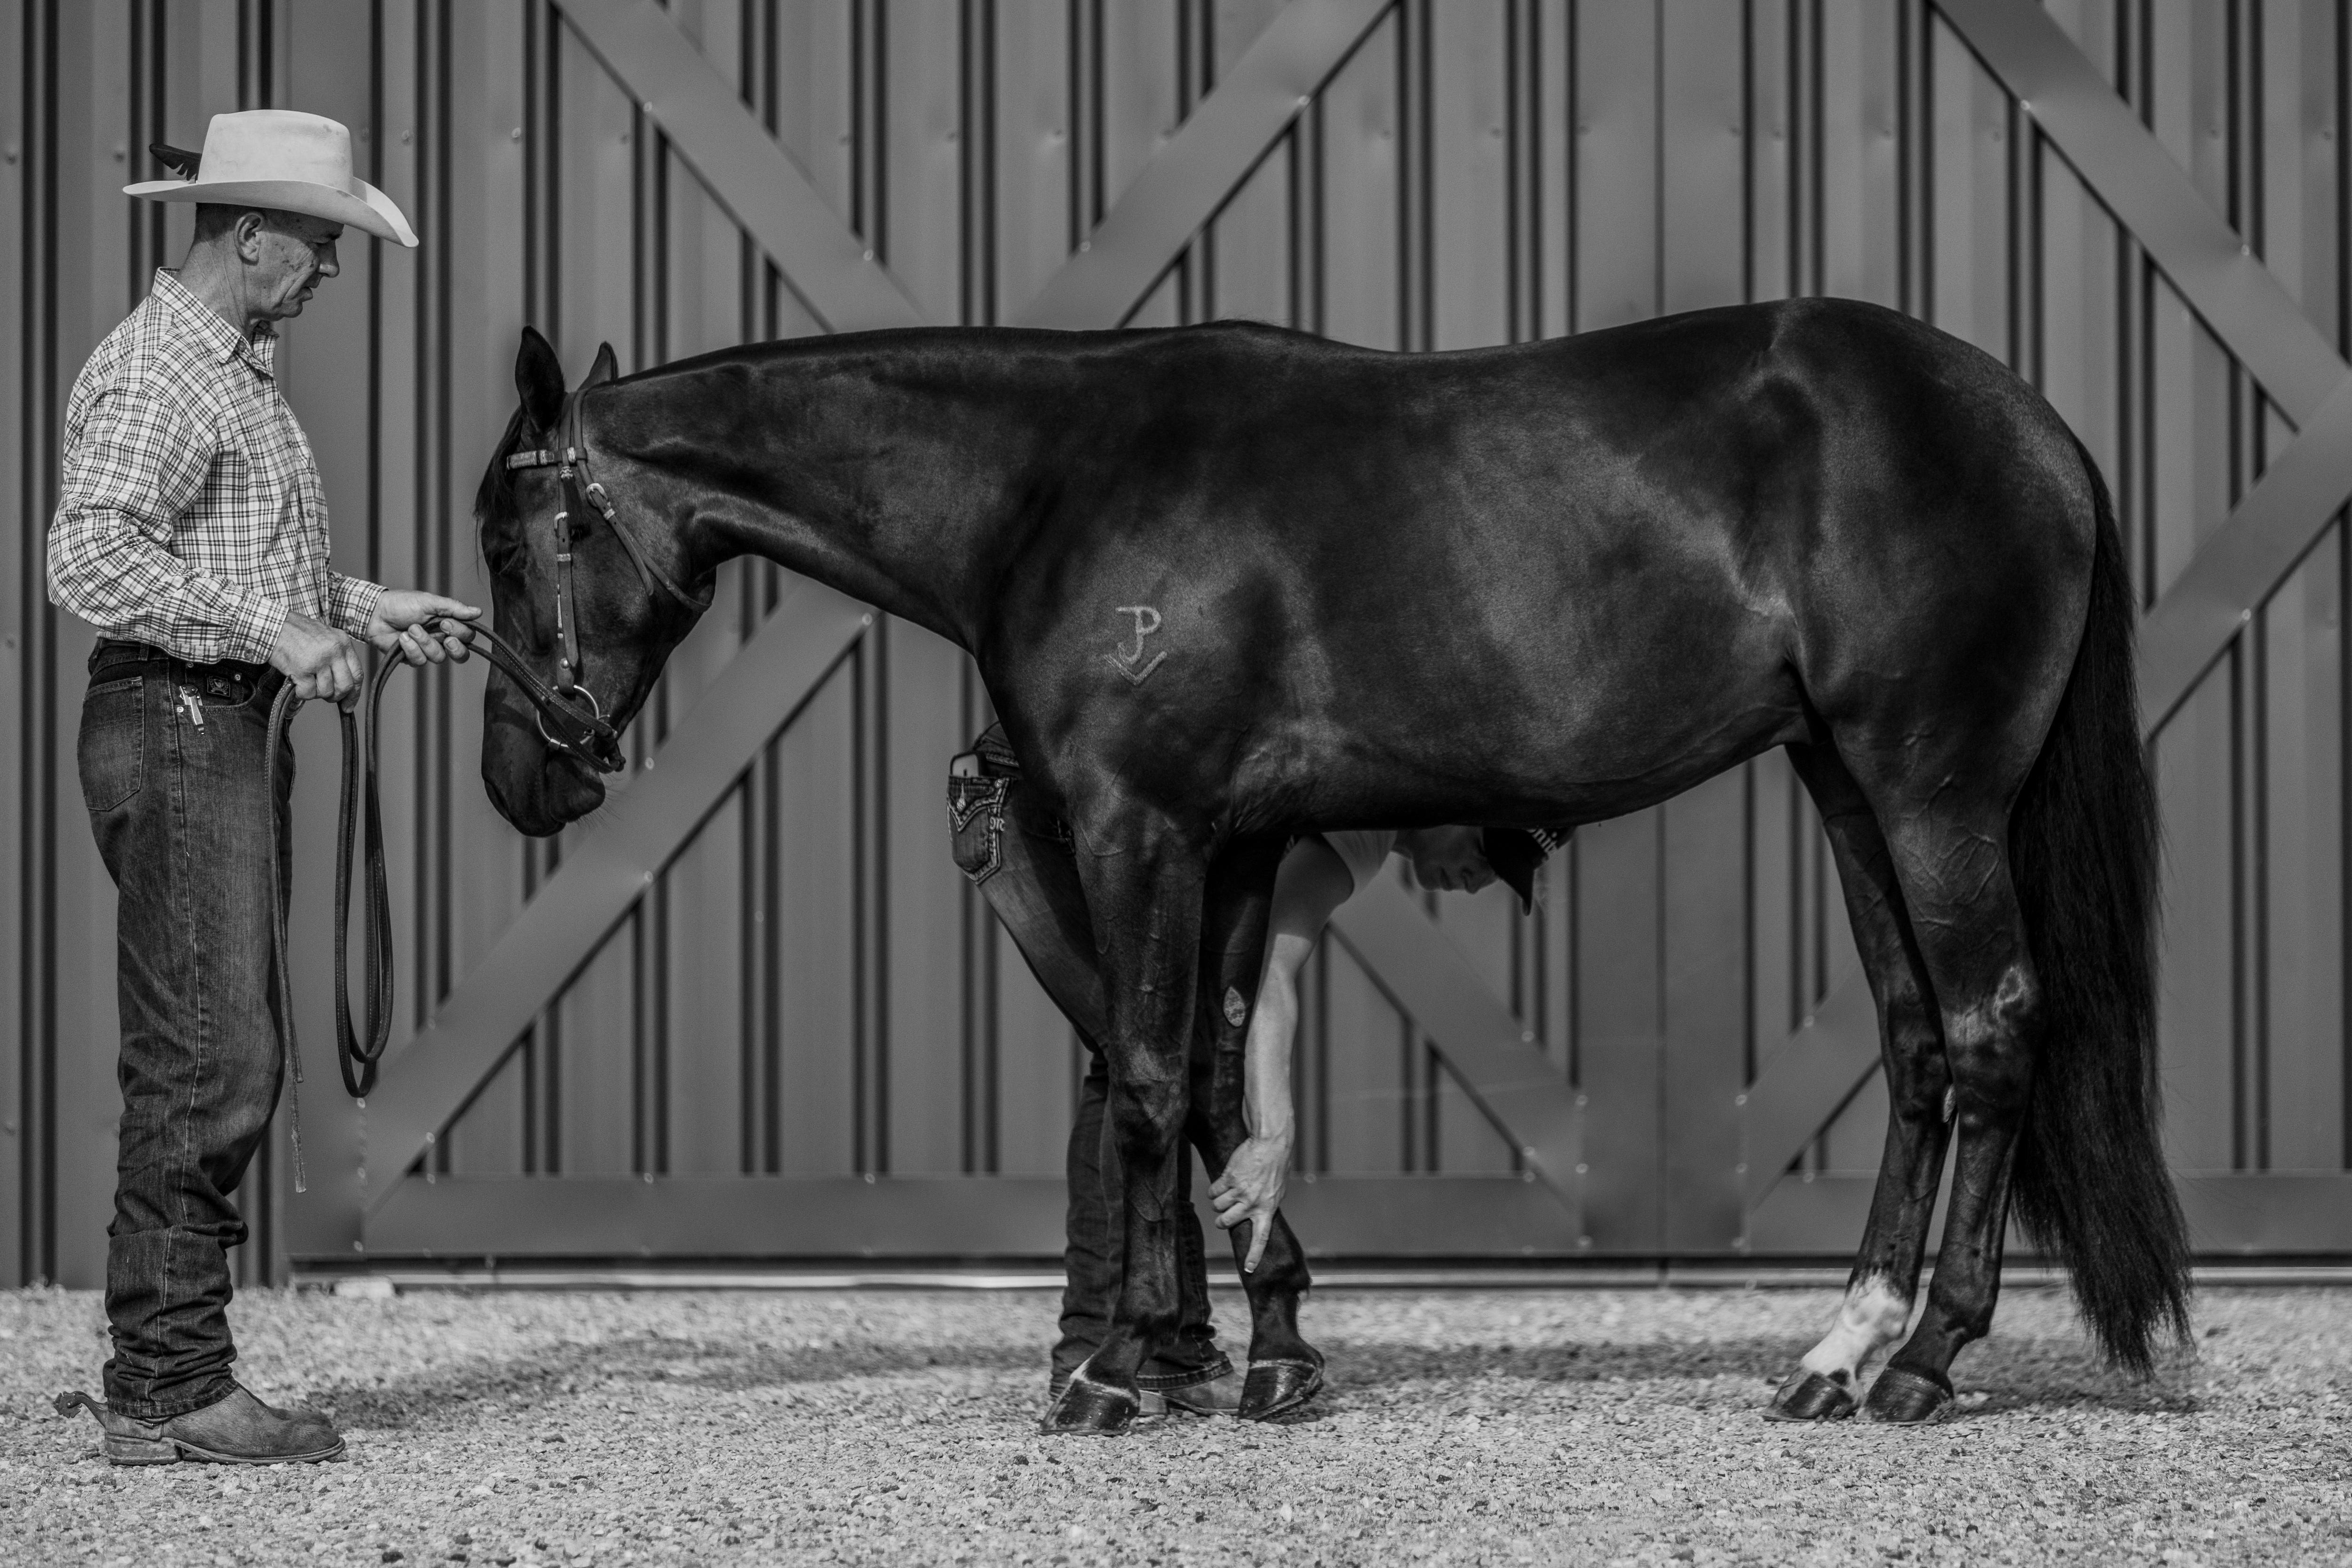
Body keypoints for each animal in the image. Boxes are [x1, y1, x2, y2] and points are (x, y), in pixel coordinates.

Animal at [470, 299, 2191, 1433]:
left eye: (508, 535)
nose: (524, 774)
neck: (1055, 484)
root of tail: (2032, 426)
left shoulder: (1139, 826)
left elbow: (1147, 1079)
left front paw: (1116, 1374)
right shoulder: (1234, 843)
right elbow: (1211, 1082)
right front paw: (1242, 1349)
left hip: (1931, 788)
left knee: (1990, 1031)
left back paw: (1929, 1358)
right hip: (1845, 782)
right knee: (1915, 1047)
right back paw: (1841, 1351)